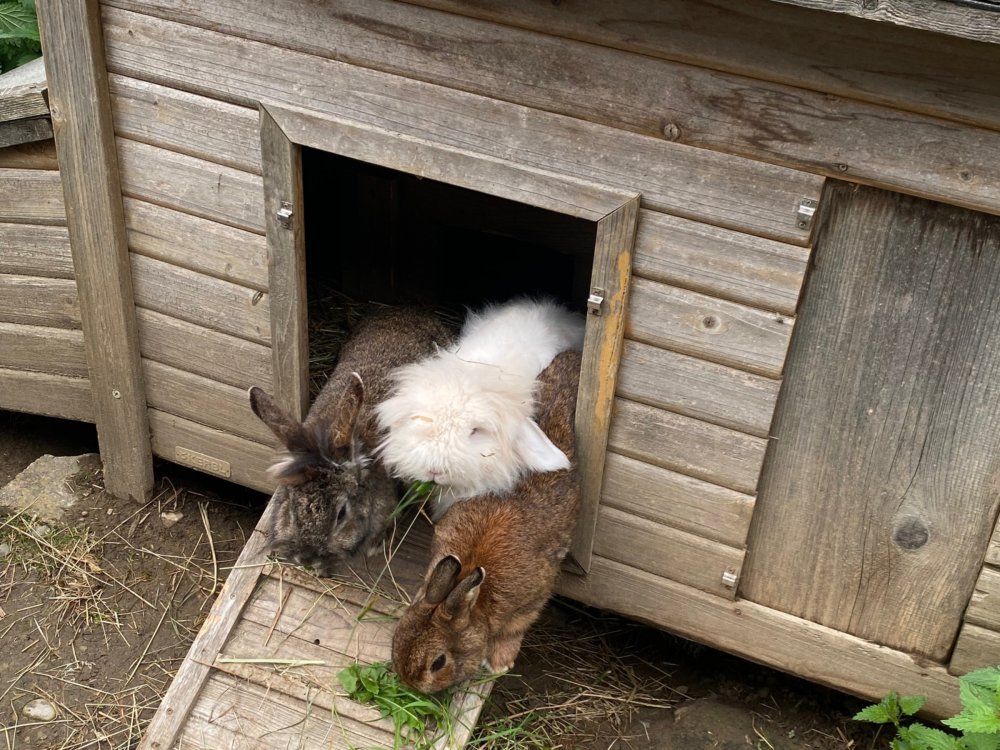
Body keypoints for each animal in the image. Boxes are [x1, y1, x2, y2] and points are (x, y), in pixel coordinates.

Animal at [391, 350, 582, 693]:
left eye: (438, 662)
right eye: (397, 637)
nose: (410, 684)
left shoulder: (531, 600)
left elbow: (513, 630)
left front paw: (499, 663)